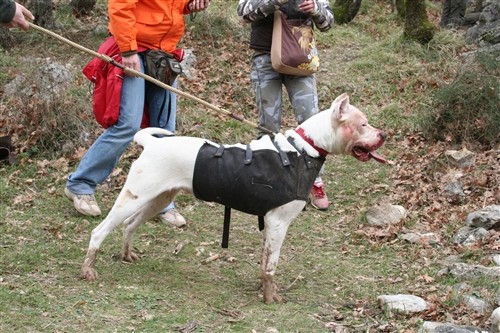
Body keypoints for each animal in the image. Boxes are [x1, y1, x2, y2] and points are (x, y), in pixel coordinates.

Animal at [82, 92, 386, 302]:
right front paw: (270, 298)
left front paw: (263, 290)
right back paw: (88, 271)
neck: (303, 150)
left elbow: (264, 263)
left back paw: (127, 255)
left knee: (129, 225)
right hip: (134, 198)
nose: (383, 134)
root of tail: (152, 143)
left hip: (157, 200)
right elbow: (272, 266)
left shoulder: (271, 225)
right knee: (100, 231)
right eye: (363, 124)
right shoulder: (279, 223)